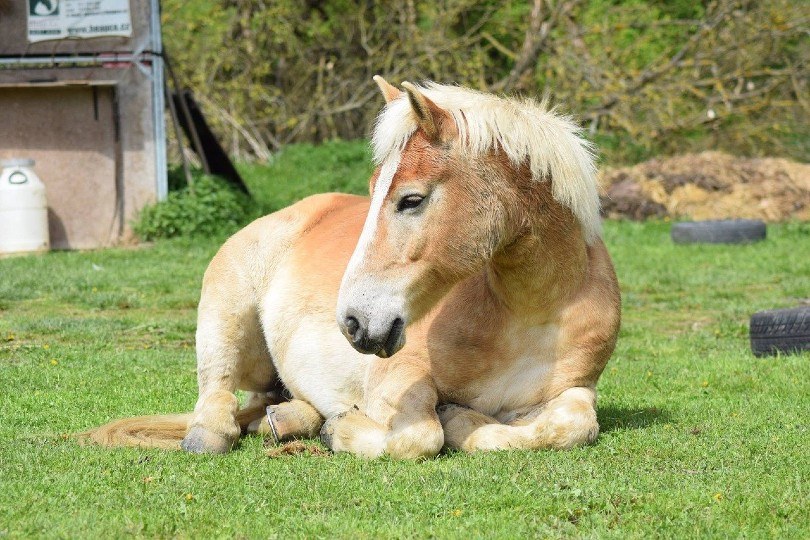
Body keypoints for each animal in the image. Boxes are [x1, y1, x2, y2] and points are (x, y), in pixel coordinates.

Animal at [86, 77, 621, 457]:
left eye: (411, 199)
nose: (354, 322)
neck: (528, 312)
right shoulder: (396, 381)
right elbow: (420, 437)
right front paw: (350, 431)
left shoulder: (576, 390)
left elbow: (573, 425)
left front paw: (467, 422)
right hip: (226, 312)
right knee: (217, 389)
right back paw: (221, 432)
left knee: (267, 404)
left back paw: (290, 422)